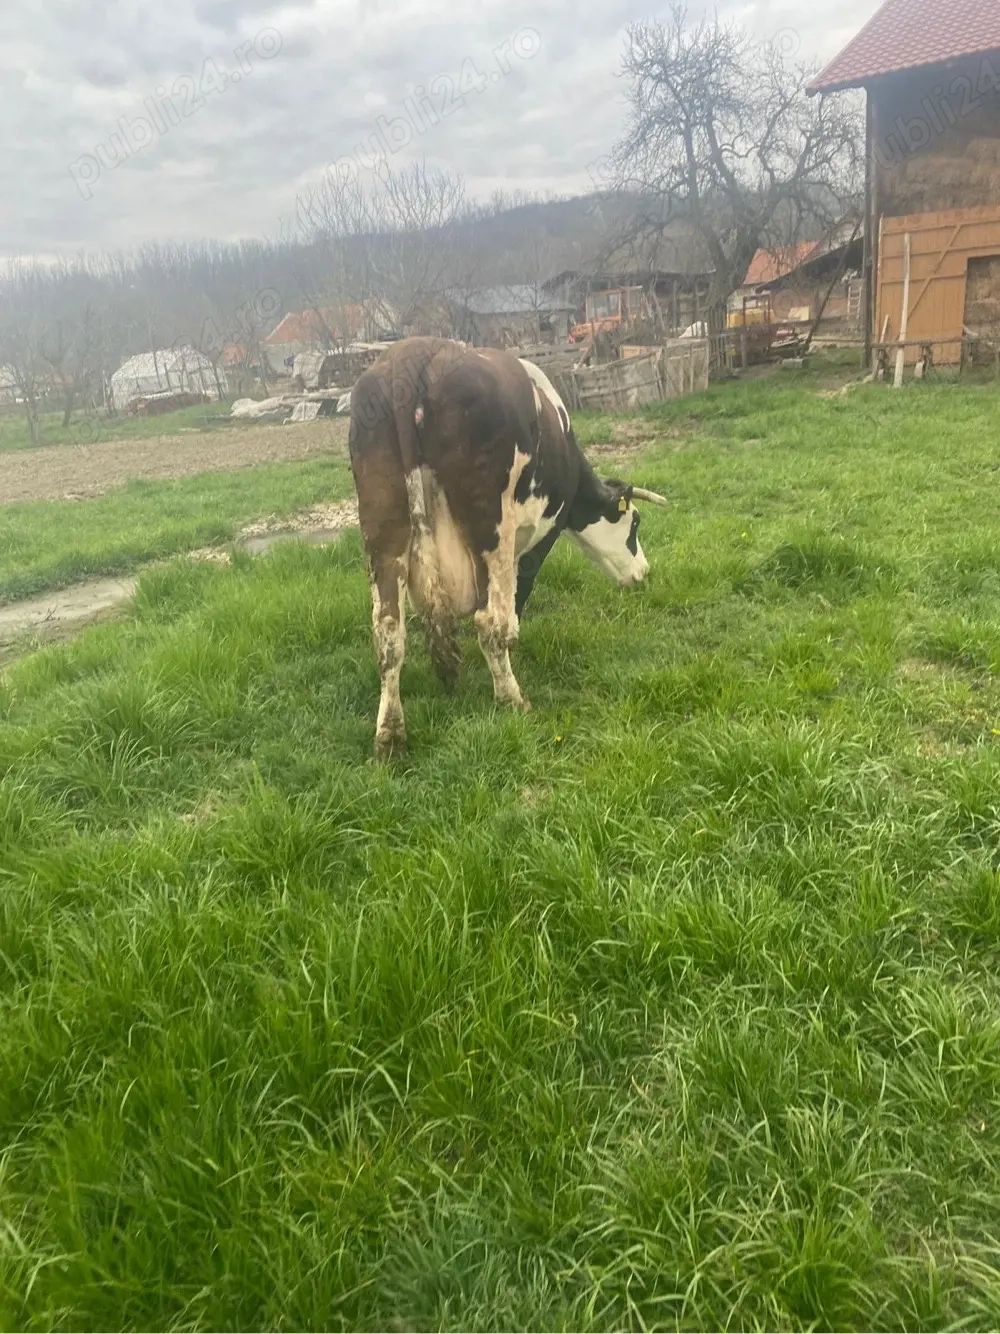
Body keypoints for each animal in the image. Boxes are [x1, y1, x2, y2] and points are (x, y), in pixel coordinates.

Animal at [347, 335, 667, 758]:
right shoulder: (541, 532)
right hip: (490, 526)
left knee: (388, 630)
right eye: (635, 523)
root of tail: (412, 355)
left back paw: (390, 735)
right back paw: (512, 699)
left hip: (383, 526)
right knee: (489, 621)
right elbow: (516, 598)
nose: (643, 572)